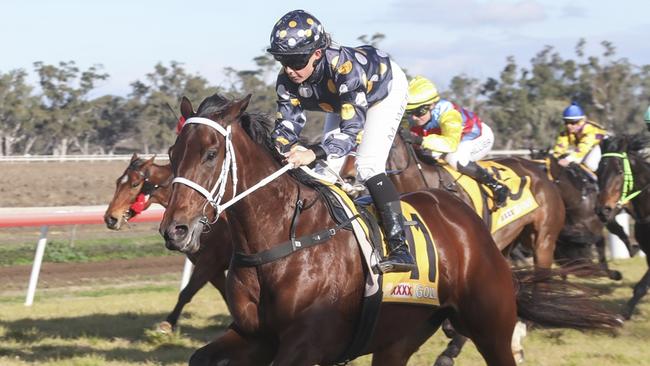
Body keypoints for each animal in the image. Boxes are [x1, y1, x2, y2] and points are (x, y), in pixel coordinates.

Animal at [102, 154, 229, 332]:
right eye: (118, 182)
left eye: (135, 184)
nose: (110, 218)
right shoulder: (211, 266)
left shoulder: (210, 261)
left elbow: (187, 292)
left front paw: (167, 324)